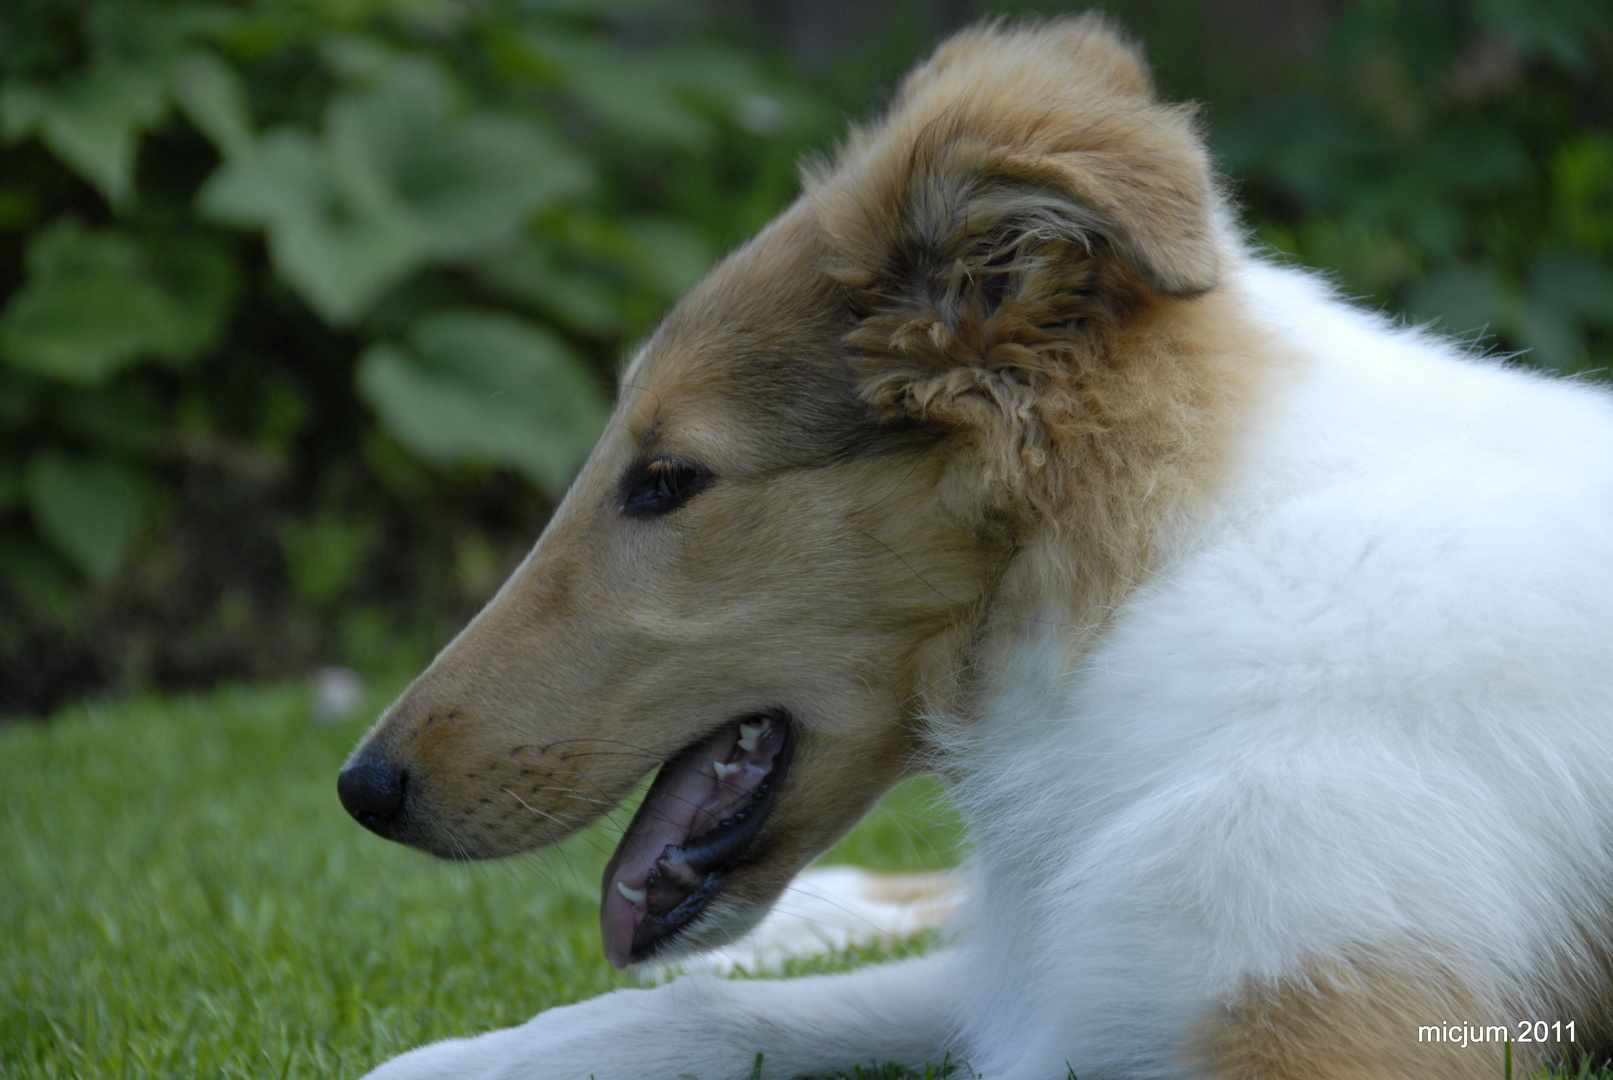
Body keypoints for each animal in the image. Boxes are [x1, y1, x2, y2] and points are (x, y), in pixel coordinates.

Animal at [337, 16, 1613, 1080]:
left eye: (666, 481)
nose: (362, 788)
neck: (1156, 579)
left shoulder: (1324, 1009)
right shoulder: (1053, 971)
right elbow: (704, 1008)